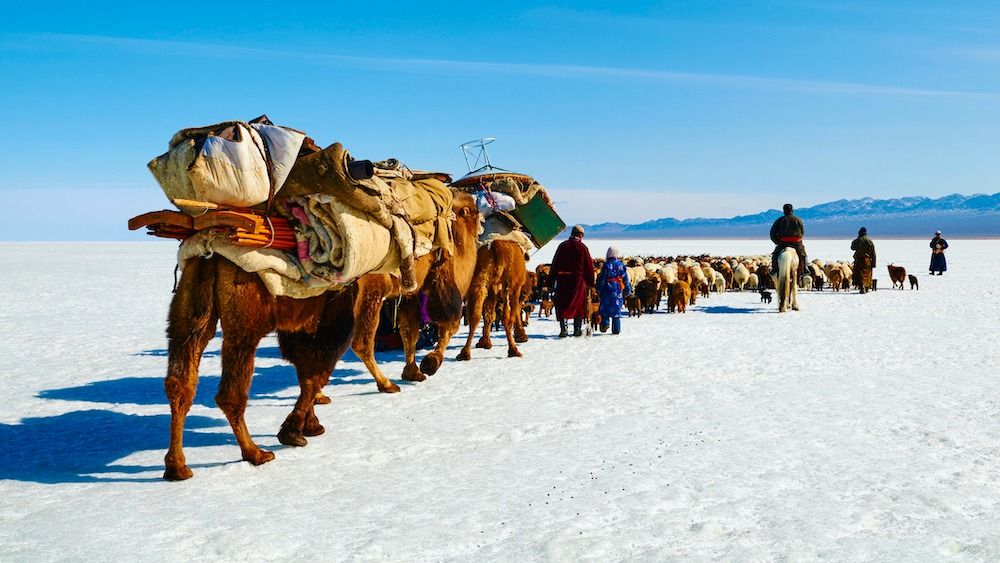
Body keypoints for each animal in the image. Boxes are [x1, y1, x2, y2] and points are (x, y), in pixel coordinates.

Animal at [160, 256, 356, 480]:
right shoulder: (335, 310)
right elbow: (316, 372)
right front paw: (294, 432)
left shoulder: (302, 321)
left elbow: (304, 369)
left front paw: (309, 425)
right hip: (245, 318)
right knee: (230, 393)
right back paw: (255, 453)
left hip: (189, 310)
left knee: (180, 384)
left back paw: (177, 467)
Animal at [342, 192, 482, 394]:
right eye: (475, 211)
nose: (482, 224)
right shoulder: (442, 282)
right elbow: (450, 324)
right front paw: (430, 363)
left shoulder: (410, 296)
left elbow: (409, 333)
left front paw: (412, 373)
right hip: (371, 291)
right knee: (362, 342)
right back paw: (386, 384)